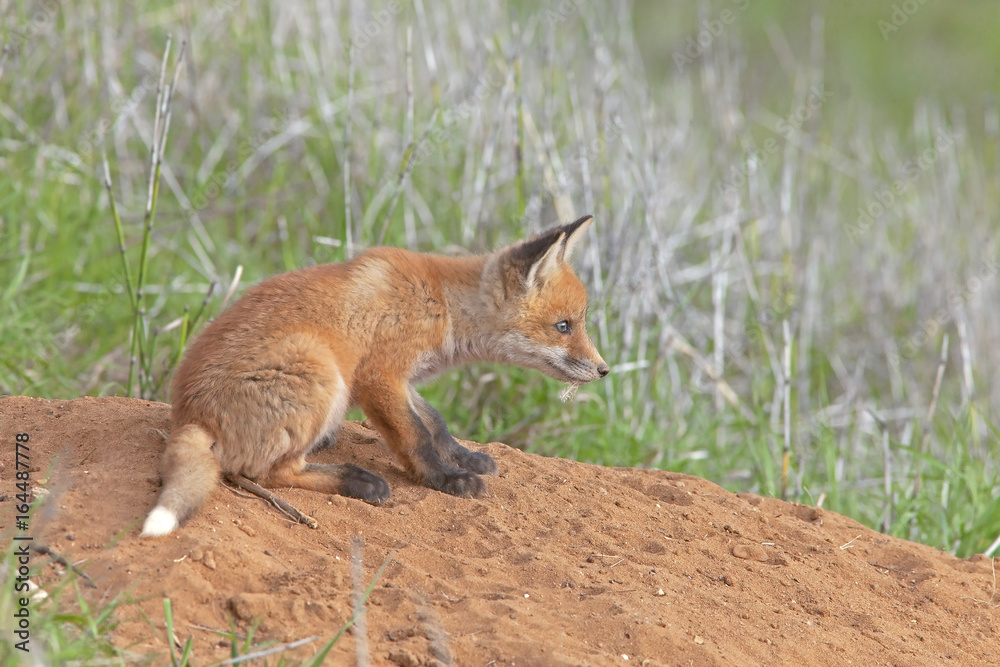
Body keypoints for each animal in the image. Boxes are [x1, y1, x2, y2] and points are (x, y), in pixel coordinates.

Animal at [141, 214, 609, 537]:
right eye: (564, 326)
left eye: (577, 323)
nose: (604, 370)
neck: (442, 303)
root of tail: (188, 415)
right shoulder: (377, 376)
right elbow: (414, 436)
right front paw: (444, 479)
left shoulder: (401, 377)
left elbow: (435, 422)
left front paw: (462, 457)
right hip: (323, 372)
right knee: (268, 473)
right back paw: (357, 480)